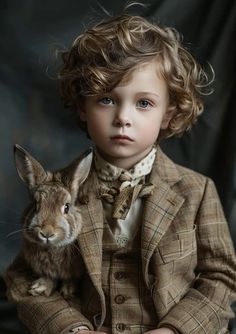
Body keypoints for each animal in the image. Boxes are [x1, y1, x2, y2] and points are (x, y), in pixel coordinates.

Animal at [11, 144, 93, 298]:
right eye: (35, 205)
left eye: (67, 207)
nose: (47, 233)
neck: (52, 249)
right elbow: (50, 277)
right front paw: (39, 287)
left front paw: (68, 290)